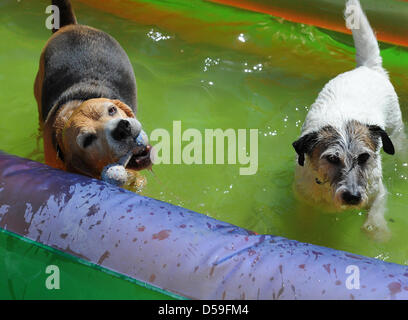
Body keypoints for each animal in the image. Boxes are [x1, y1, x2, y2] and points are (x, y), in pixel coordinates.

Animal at [294, 0, 404, 240]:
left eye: (364, 157)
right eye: (332, 159)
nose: (353, 197)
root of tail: (367, 67)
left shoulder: (377, 190)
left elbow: (377, 206)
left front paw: (376, 227)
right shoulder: (304, 199)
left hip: (397, 133)